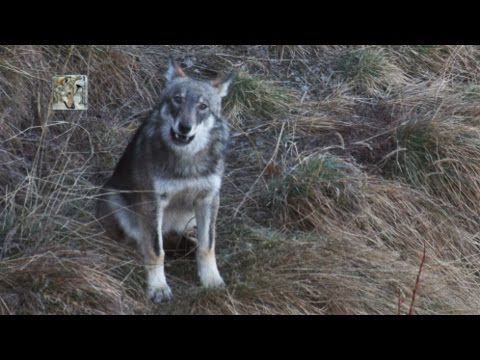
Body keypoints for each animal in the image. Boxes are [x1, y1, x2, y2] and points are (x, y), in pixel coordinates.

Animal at [95, 57, 232, 302]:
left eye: (202, 106)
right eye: (177, 99)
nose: (184, 127)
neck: (188, 161)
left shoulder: (209, 199)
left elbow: (207, 246)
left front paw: (211, 280)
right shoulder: (154, 202)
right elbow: (156, 250)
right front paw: (158, 287)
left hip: (189, 217)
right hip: (117, 201)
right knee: (140, 242)